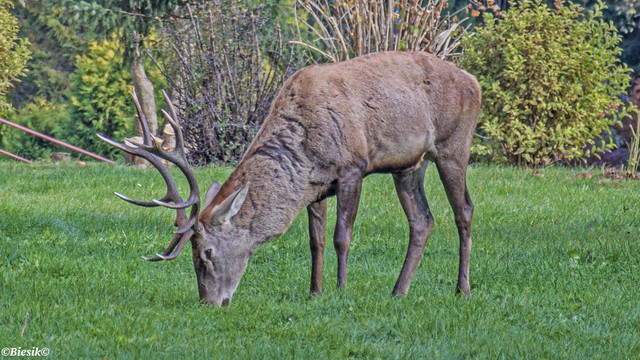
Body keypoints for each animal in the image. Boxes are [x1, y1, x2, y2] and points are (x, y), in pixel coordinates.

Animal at [100, 52, 480, 308]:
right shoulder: (316, 187)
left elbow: (342, 236)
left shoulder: (353, 165)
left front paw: (341, 290)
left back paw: (462, 289)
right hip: (409, 166)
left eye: (206, 252)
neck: (304, 152)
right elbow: (316, 241)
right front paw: (315, 291)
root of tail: (473, 81)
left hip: (454, 145)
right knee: (422, 220)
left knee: (464, 210)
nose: (208, 302)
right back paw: (399, 291)